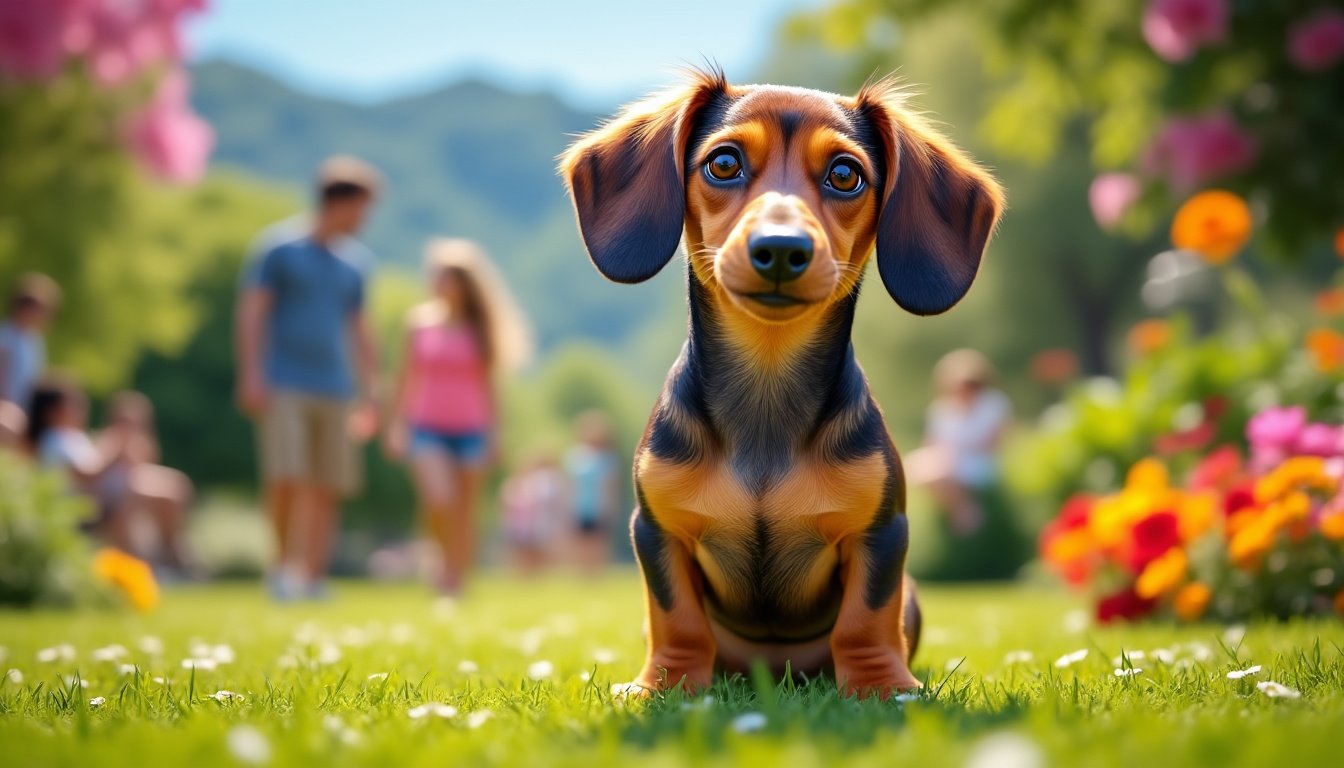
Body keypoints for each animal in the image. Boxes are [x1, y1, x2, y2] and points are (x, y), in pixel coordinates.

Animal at [561, 70, 1005, 699]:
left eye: (845, 174)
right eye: (724, 163)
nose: (780, 248)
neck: (767, 390)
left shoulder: (880, 533)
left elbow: (867, 618)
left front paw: (880, 686)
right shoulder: (656, 532)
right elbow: (676, 618)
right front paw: (665, 685)